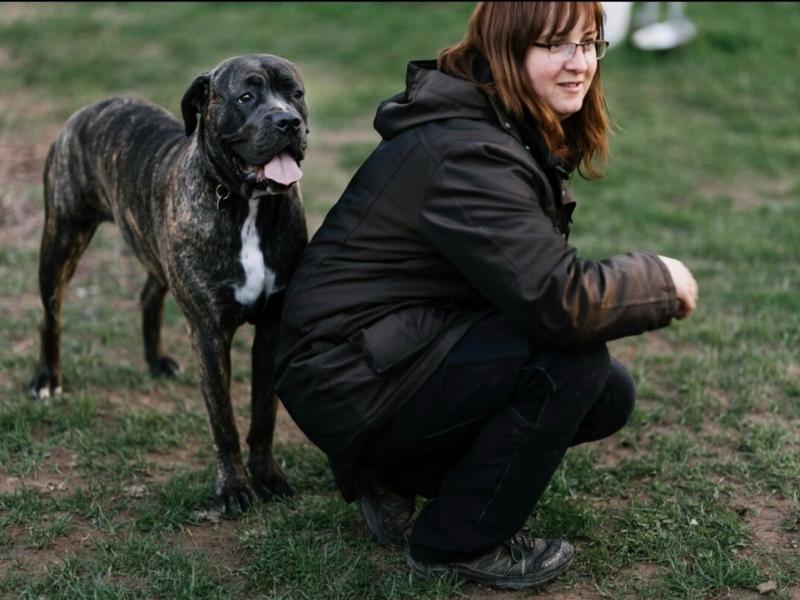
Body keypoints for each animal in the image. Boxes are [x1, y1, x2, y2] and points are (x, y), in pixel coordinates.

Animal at [28, 52, 310, 516]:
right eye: (246, 97)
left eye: (295, 93)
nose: (288, 121)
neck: (243, 204)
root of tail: (95, 105)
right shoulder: (209, 334)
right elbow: (224, 422)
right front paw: (234, 488)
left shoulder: (271, 328)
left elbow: (263, 415)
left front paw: (268, 476)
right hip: (62, 238)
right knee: (51, 315)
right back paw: (47, 378)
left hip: (152, 251)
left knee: (147, 297)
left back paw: (156, 360)